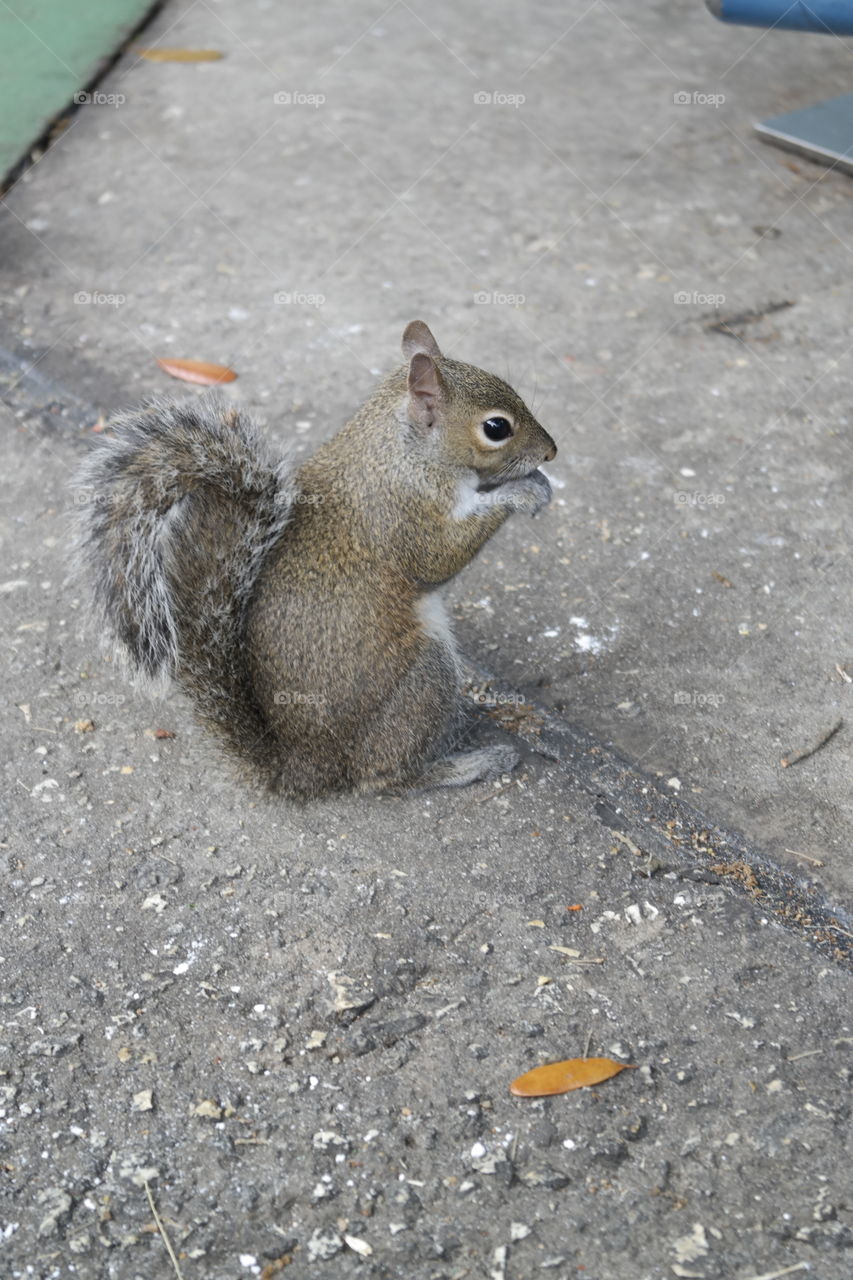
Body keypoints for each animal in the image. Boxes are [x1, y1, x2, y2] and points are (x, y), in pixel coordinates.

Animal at [74, 321, 557, 800]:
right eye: (496, 427)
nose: (551, 452)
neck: (403, 449)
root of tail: (306, 765)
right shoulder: (406, 513)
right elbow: (439, 556)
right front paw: (523, 491)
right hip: (425, 680)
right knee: (382, 776)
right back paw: (469, 764)